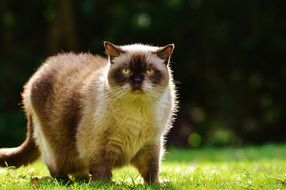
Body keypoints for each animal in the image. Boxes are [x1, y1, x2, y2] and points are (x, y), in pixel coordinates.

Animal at [0, 41, 178, 184]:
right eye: (126, 70)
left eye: (149, 71)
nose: (137, 81)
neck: (137, 111)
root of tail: (37, 74)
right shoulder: (98, 144)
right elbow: (101, 169)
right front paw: (105, 185)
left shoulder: (151, 144)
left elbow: (152, 170)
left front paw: (157, 184)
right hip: (54, 145)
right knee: (56, 167)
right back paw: (68, 182)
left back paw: (84, 180)